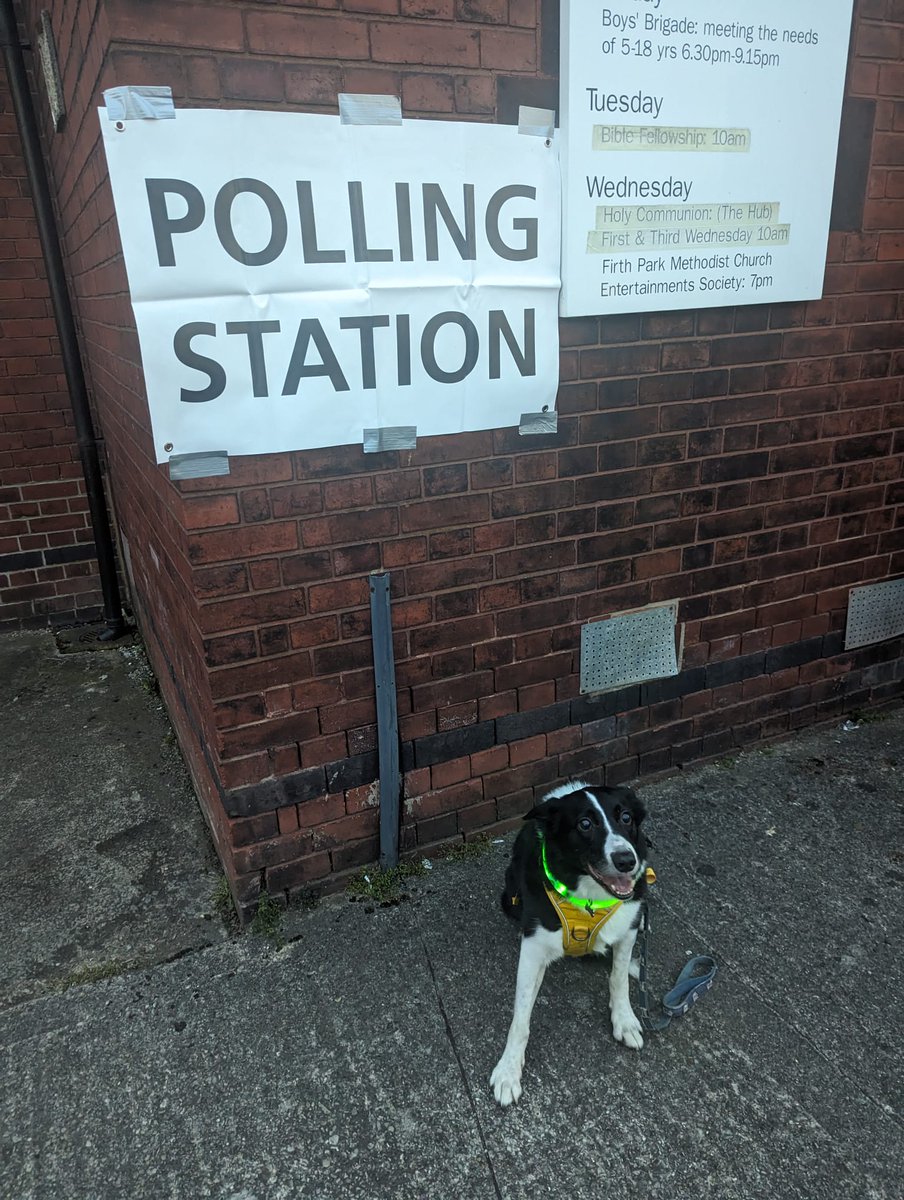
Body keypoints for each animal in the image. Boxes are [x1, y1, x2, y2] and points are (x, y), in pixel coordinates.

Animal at [489, 777, 653, 1104]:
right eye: (585, 824)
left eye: (626, 817)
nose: (626, 860)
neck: (590, 898)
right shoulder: (533, 949)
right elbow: (521, 1016)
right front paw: (508, 1070)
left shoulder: (628, 924)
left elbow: (618, 979)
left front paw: (624, 1019)